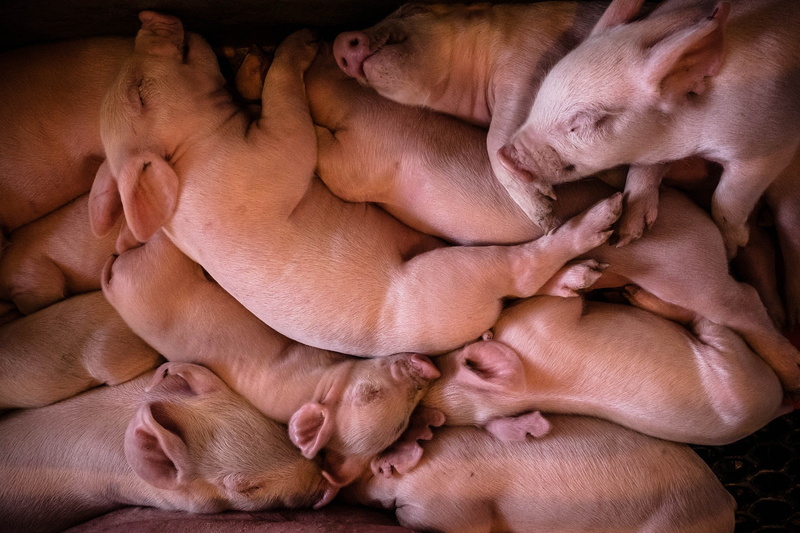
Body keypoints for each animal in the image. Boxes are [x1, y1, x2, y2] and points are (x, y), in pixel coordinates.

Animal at [89, 12, 621, 358]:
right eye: (140, 93)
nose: (147, 18)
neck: (194, 158)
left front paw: (256, 58)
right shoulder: (265, 160)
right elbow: (295, 125)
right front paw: (297, 42)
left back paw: (583, 276)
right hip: (447, 277)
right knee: (520, 273)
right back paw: (602, 222)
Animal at [102, 230, 442, 487]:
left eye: (402, 424)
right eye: (369, 394)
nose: (429, 368)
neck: (317, 383)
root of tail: (113, 288)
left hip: (150, 265)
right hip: (158, 263)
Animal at [298, 47, 800, 393]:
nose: (323, 44)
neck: (363, 108)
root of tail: (704, 225)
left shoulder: (364, 158)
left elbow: (332, 163)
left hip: (688, 271)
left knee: (744, 303)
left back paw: (791, 371)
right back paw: (622, 291)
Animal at [416, 289, 787, 447]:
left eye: (446, 361)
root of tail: (773, 407)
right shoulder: (540, 320)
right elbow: (570, 303)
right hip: (734, 363)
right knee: (708, 321)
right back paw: (634, 294)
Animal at [500, 0, 800, 260]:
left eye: (582, 123)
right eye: (541, 90)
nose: (505, 154)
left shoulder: (765, 148)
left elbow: (725, 201)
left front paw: (732, 250)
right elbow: (644, 168)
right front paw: (624, 237)